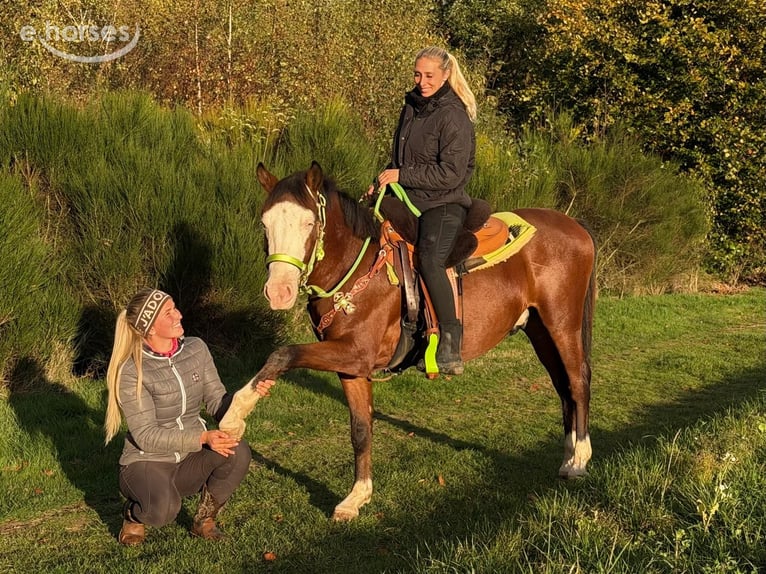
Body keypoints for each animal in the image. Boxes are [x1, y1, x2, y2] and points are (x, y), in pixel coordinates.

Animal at [220, 161, 597, 521]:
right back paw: (567, 453)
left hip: (562, 324)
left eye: (308, 223)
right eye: (265, 224)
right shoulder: (351, 366)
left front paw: (234, 417)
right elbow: (360, 428)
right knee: (562, 386)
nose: (278, 292)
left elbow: (283, 354)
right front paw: (357, 497)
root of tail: (575, 226)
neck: (358, 268)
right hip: (539, 330)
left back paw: (579, 459)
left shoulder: (354, 353)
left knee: (577, 381)